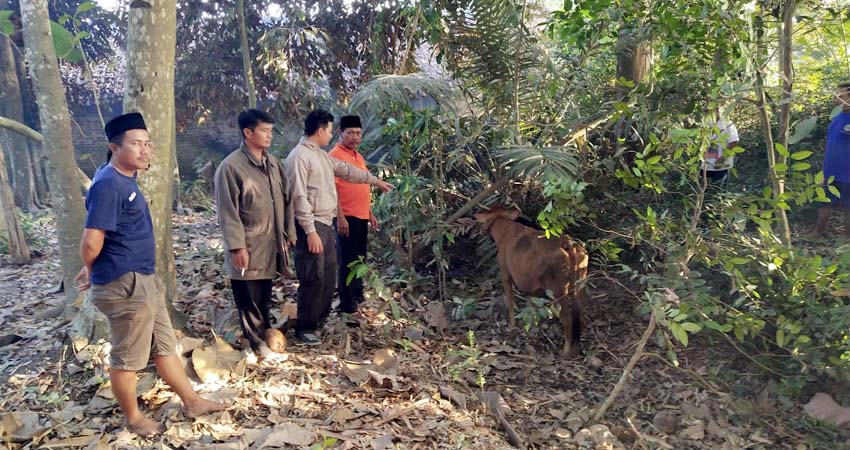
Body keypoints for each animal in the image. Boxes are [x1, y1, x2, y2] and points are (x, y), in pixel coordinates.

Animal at [474, 208, 588, 358]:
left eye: (485, 219)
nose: (480, 231)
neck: (504, 232)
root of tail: (566, 241)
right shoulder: (530, 287)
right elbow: (531, 308)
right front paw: (531, 329)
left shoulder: (505, 274)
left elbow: (511, 302)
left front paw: (512, 325)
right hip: (580, 282)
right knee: (579, 313)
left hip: (558, 289)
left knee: (567, 318)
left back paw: (565, 352)